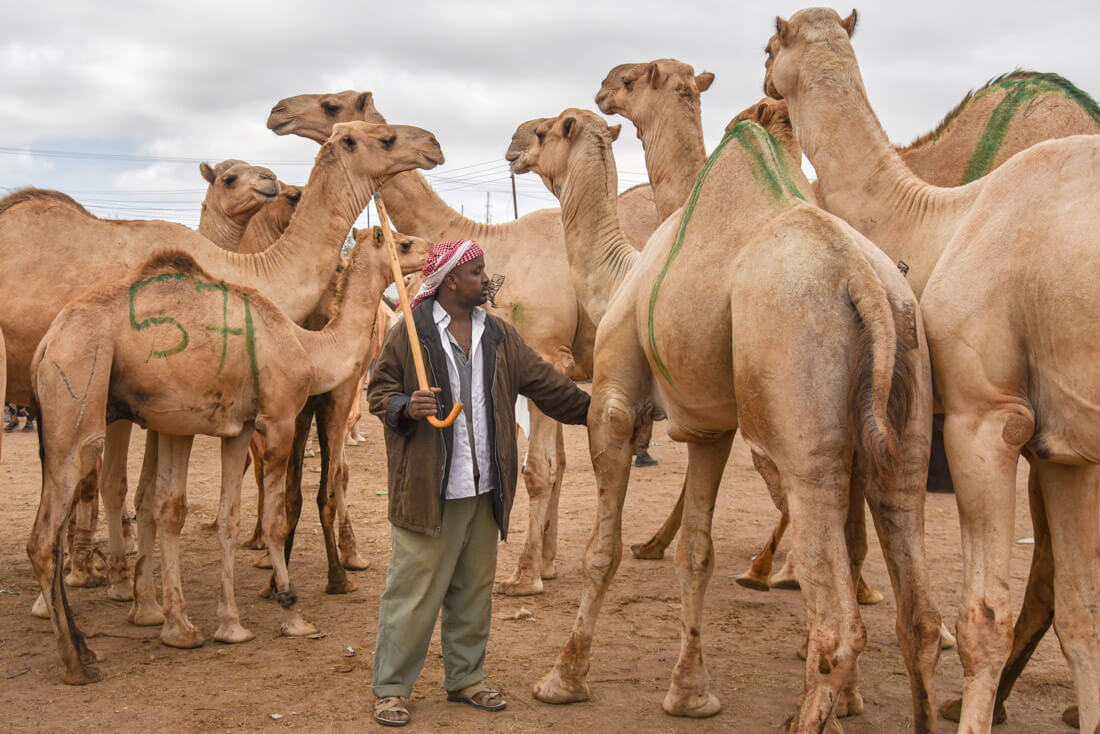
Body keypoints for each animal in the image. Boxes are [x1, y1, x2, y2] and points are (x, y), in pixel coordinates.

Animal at [5, 120, 442, 616]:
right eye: (384, 136)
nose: (433, 143)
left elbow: (144, 494)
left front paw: (135, 590)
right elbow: (120, 486)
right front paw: (122, 590)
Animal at [27, 222, 426, 682]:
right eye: (404, 243)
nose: (433, 249)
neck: (307, 348)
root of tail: (47, 343)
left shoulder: (240, 428)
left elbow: (229, 520)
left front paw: (231, 625)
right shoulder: (278, 419)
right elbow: (275, 520)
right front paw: (292, 613)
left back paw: (102, 642)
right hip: (77, 397)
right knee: (45, 537)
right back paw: (76, 663)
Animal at [266, 90, 660, 598]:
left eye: (335, 108)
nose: (278, 111)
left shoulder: (548, 351)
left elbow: (540, 471)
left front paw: (525, 576)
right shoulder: (555, 364)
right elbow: (558, 466)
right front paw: (548, 564)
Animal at [510, 108, 941, 734]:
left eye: (545, 131)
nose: (514, 144)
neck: (620, 277)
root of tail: (863, 280)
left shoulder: (613, 405)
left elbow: (601, 551)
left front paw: (563, 679)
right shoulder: (708, 429)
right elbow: (696, 554)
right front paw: (690, 695)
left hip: (804, 420)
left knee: (839, 624)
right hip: (907, 409)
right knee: (919, 615)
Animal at [765, 8, 1100, 730]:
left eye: (768, 46)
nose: (765, 86)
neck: (935, 218)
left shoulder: (986, 420)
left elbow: (982, 620)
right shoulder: (1066, 448)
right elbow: (1081, 612)